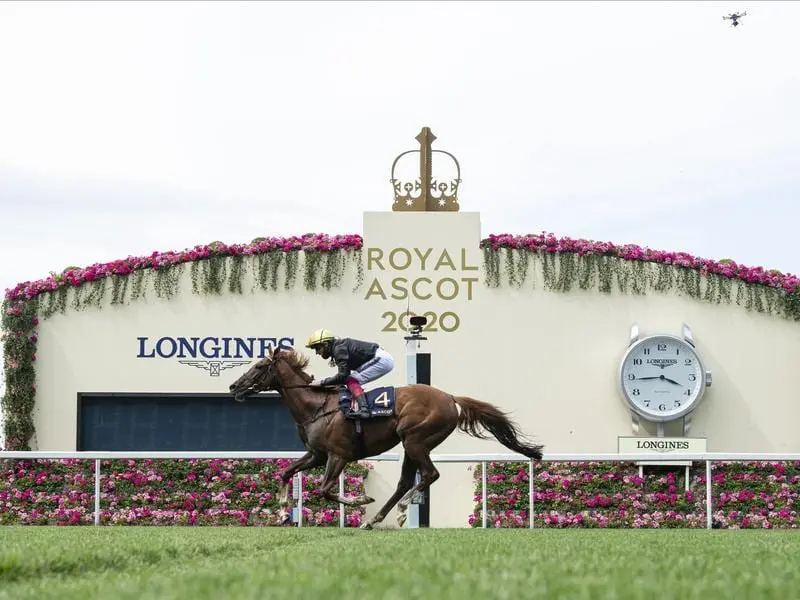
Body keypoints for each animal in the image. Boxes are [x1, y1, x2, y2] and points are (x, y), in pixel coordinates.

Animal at [227, 344, 544, 528]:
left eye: (259, 366)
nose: (233, 387)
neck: (316, 407)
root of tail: (449, 397)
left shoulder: (338, 455)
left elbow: (326, 489)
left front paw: (361, 500)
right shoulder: (317, 454)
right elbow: (285, 472)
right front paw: (282, 513)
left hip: (415, 439)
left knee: (430, 475)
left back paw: (400, 510)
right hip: (411, 445)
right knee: (405, 481)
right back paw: (378, 519)